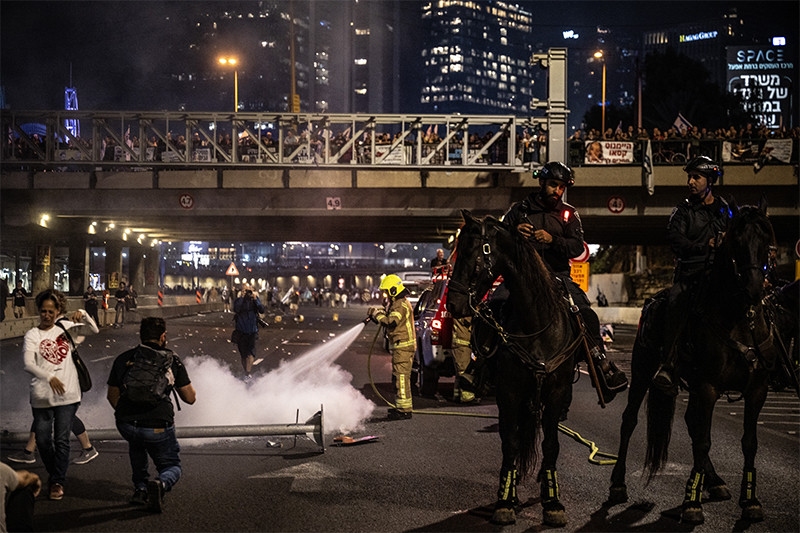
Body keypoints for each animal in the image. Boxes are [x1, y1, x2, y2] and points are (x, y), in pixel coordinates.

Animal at [446, 210, 584, 524]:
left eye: (471, 251)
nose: (453, 304)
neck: (537, 324)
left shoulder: (556, 393)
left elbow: (550, 444)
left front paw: (553, 500)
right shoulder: (509, 392)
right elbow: (510, 441)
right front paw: (505, 499)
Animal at [612, 197, 776, 520]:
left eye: (766, 239)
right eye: (736, 239)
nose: (753, 287)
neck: (737, 318)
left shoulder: (756, 390)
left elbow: (749, 442)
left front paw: (750, 500)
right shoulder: (709, 386)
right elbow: (703, 440)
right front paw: (692, 502)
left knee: (689, 419)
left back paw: (715, 482)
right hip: (642, 372)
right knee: (628, 420)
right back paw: (619, 484)